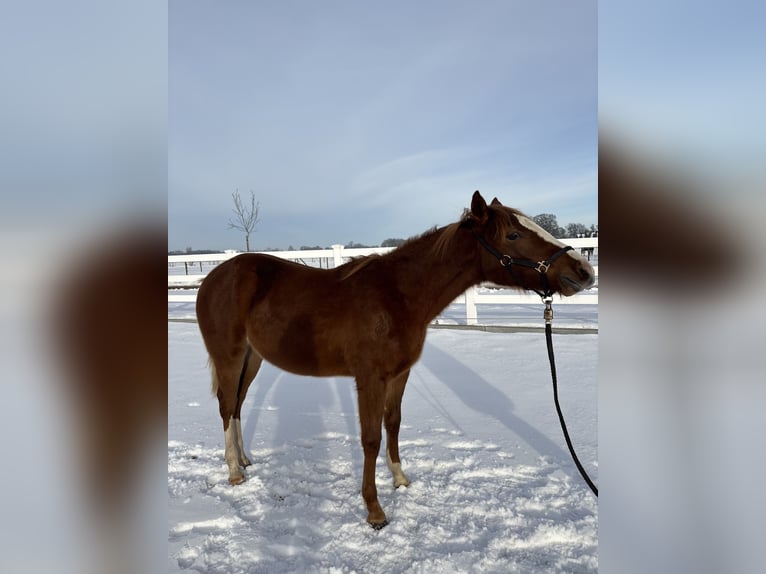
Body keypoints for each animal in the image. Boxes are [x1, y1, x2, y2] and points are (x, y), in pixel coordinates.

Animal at [195, 190, 595, 529]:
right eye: (512, 235)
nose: (583, 271)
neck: (398, 296)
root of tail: (215, 275)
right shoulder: (369, 378)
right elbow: (371, 438)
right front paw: (374, 511)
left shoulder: (399, 375)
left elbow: (394, 424)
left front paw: (400, 479)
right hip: (230, 356)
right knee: (226, 405)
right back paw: (234, 472)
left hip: (253, 359)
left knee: (237, 405)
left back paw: (245, 460)